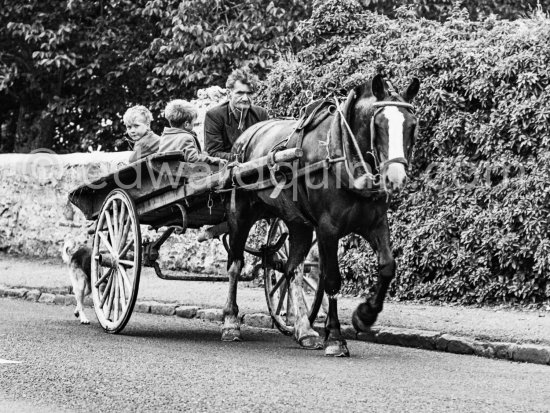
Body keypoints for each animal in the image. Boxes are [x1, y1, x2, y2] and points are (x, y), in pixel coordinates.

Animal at [220, 73, 418, 354]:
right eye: (379, 124)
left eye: (412, 125)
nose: (396, 177)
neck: (341, 152)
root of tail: (245, 136)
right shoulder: (328, 228)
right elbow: (332, 280)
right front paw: (335, 336)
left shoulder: (376, 224)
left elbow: (388, 266)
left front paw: (365, 315)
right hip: (239, 213)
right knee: (235, 265)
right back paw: (230, 322)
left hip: (298, 223)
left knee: (292, 270)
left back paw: (304, 330)